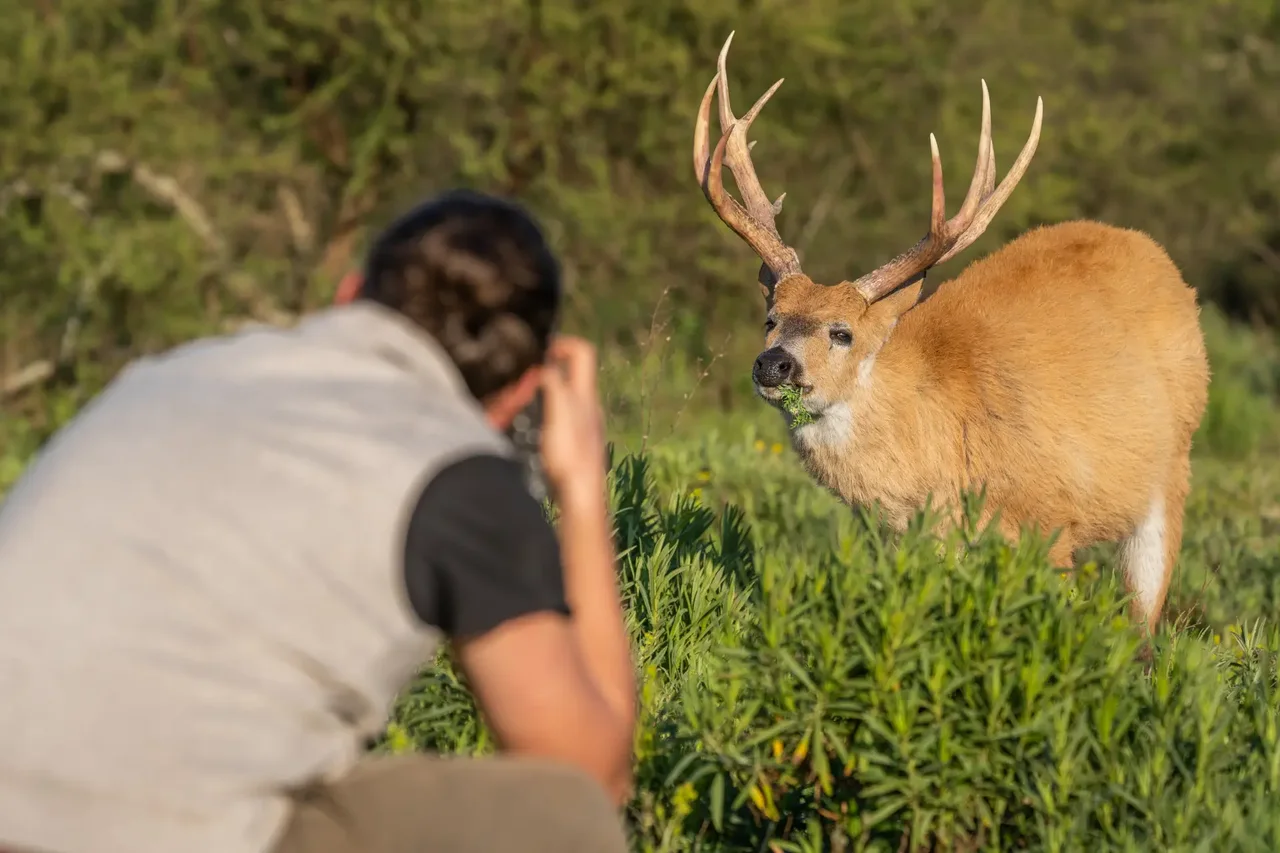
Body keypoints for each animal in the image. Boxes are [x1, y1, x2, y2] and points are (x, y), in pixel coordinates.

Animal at [692, 32, 1209, 632]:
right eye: (770, 317)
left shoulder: (1049, 526)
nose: (773, 363)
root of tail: (1160, 258)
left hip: (1171, 473)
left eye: (842, 333)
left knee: (1142, 625)